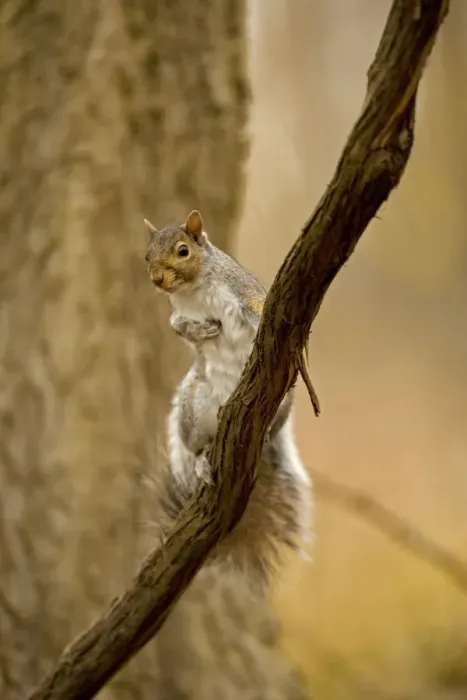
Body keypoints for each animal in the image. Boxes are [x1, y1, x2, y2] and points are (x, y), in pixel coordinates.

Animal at [145, 209, 311, 586]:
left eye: (183, 251)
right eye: (146, 256)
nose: (157, 280)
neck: (193, 290)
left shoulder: (246, 293)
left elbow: (259, 311)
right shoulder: (177, 313)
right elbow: (179, 326)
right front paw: (202, 330)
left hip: (279, 408)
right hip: (194, 407)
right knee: (195, 446)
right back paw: (202, 462)